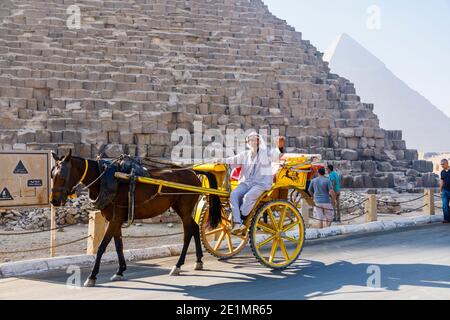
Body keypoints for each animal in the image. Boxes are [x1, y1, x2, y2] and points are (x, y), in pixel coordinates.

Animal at [49, 150, 221, 288]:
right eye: (52, 175)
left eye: (62, 175)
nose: (54, 201)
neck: (106, 179)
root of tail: (192, 171)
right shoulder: (115, 220)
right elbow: (118, 245)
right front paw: (120, 271)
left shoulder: (115, 220)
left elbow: (102, 247)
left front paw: (92, 276)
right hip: (182, 209)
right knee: (195, 228)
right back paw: (198, 261)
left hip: (184, 209)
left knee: (187, 233)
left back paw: (178, 265)